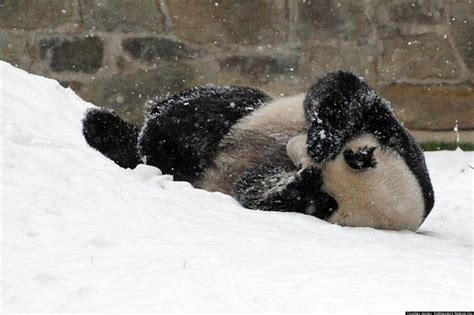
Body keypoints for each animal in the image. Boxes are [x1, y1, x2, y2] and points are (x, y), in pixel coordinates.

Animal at [83, 71, 436, 232]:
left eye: (321, 196)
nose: (295, 150)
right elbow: (342, 90)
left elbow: (253, 189)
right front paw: (323, 138)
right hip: (250, 109)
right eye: (343, 156)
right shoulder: (394, 135)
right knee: (201, 111)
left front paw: (283, 185)